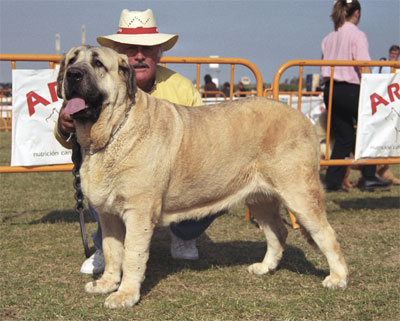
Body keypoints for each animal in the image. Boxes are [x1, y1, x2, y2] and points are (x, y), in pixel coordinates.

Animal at [56, 45, 346, 308]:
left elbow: (131, 256)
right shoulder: (108, 215)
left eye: (98, 64)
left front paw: (125, 295)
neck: (112, 130)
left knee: (326, 234)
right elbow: (112, 251)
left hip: (299, 194)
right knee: (278, 231)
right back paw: (265, 267)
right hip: (260, 199)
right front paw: (106, 283)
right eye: (71, 60)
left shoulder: (138, 214)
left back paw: (338, 278)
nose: (73, 75)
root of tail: (302, 118)